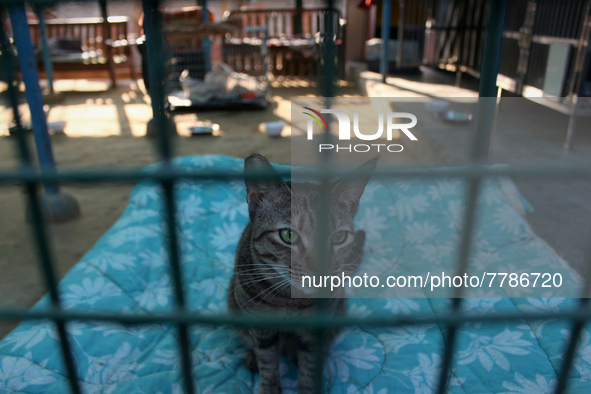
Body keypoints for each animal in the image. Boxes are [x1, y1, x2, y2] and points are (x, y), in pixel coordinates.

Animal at [229, 154, 376, 394]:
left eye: (338, 237)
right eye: (288, 235)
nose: (320, 269)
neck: (290, 301)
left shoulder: (316, 332)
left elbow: (309, 367)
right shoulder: (261, 328)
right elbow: (268, 363)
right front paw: (269, 386)